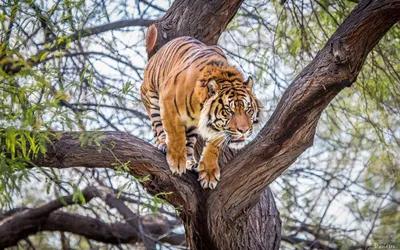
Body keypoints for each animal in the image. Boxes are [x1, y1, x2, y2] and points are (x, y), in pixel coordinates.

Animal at [139, 25, 260, 189]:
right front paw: (177, 162)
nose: (244, 130)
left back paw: (190, 161)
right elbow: (175, 135)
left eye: (248, 110)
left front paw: (208, 173)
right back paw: (164, 145)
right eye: (229, 111)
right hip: (152, 97)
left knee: (189, 143)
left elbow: (213, 146)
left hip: (192, 127)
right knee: (159, 128)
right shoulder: (168, 101)